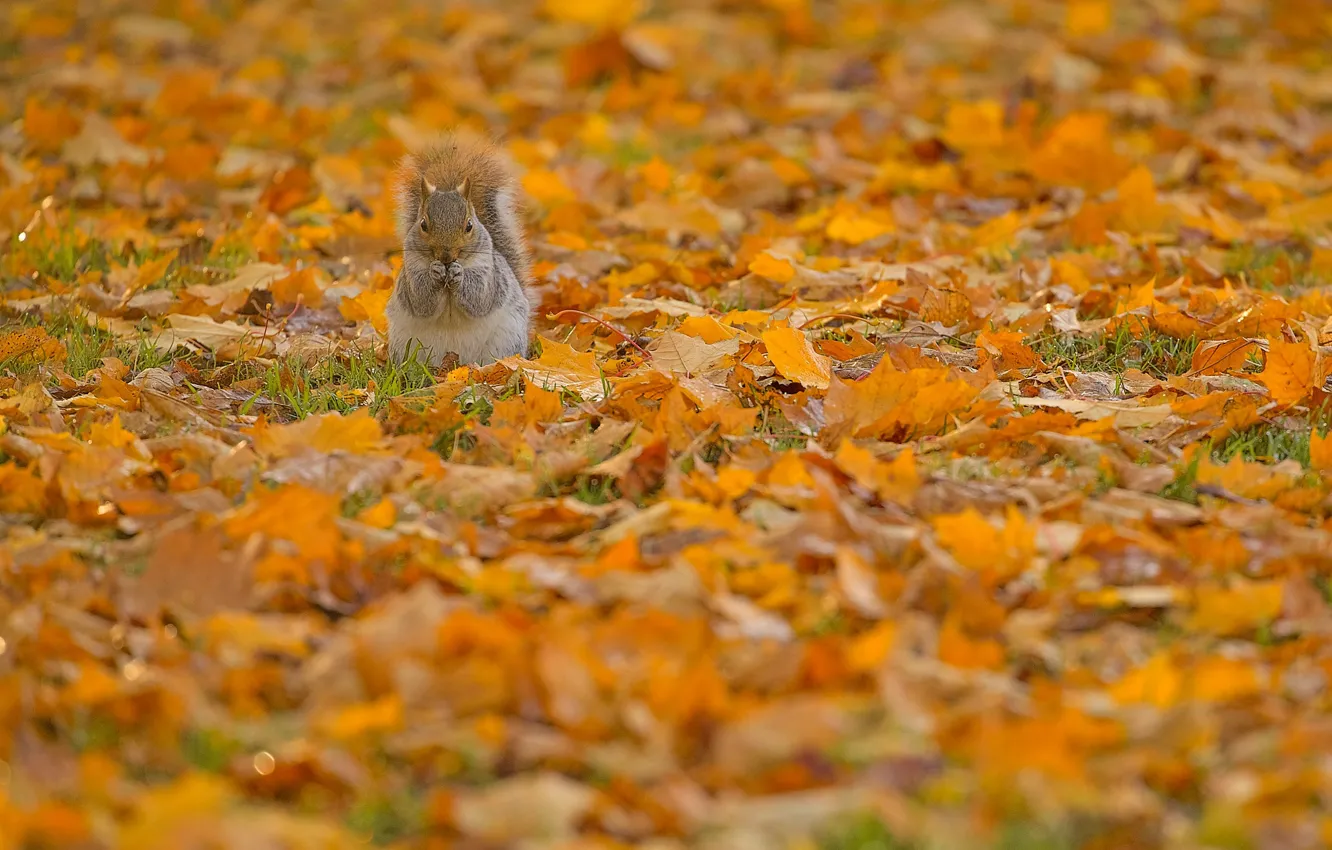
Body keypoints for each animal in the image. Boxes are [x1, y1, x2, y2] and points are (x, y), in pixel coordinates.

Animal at [386, 134, 530, 367]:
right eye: (423, 224)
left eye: (469, 225)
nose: (446, 256)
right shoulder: (411, 272)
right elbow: (420, 300)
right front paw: (435, 271)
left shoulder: (488, 273)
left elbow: (479, 299)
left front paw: (459, 274)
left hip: (507, 340)